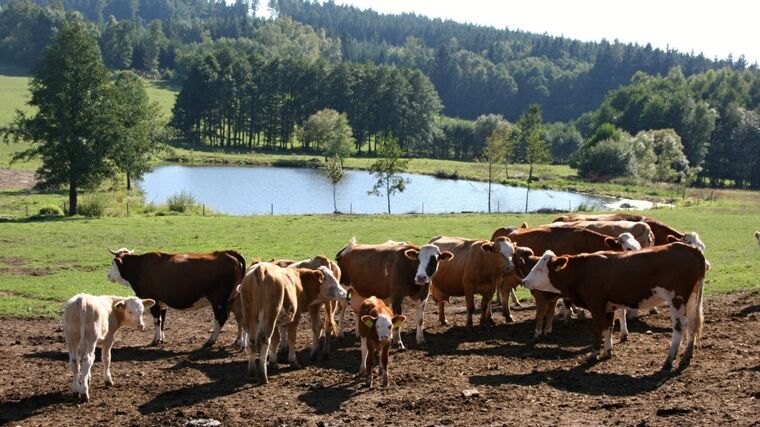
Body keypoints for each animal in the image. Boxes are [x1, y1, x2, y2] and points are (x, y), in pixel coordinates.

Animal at [107, 251, 246, 348]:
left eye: (113, 264)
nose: (108, 276)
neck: (140, 266)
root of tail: (227, 253)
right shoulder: (161, 303)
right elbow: (162, 321)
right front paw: (162, 338)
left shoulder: (154, 301)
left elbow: (157, 320)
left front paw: (156, 340)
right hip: (232, 300)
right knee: (239, 318)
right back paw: (238, 341)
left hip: (218, 301)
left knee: (221, 318)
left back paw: (210, 340)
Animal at [524, 237, 708, 372]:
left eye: (540, 269)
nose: (525, 281)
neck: (582, 271)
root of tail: (691, 249)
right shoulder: (609, 306)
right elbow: (608, 328)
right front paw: (607, 351)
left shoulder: (597, 305)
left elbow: (597, 329)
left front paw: (594, 354)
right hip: (692, 299)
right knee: (693, 324)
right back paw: (686, 357)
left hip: (677, 299)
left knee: (680, 326)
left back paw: (669, 360)